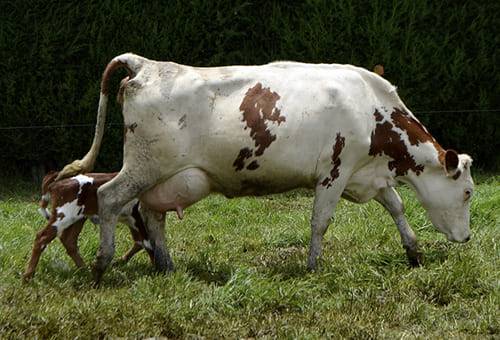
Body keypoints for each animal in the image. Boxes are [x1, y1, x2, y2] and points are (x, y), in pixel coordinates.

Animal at [56, 53, 474, 284]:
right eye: (468, 192)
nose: (467, 237)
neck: (371, 109)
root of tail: (145, 65)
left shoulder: (366, 174)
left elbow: (397, 208)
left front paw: (414, 252)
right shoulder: (335, 171)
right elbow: (320, 222)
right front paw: (313, 267)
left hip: (167, 178)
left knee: (151, 215)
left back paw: (167, 266)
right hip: (144, 166)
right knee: (110, 198)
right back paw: (101, 265)